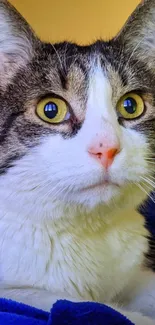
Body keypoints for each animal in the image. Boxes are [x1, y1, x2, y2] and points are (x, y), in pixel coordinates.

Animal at [0, 0, 155, 322]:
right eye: (50, 109)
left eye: (131, 105)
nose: (106, 148)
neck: (88, 230)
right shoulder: (15, 291)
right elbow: (92, 307)